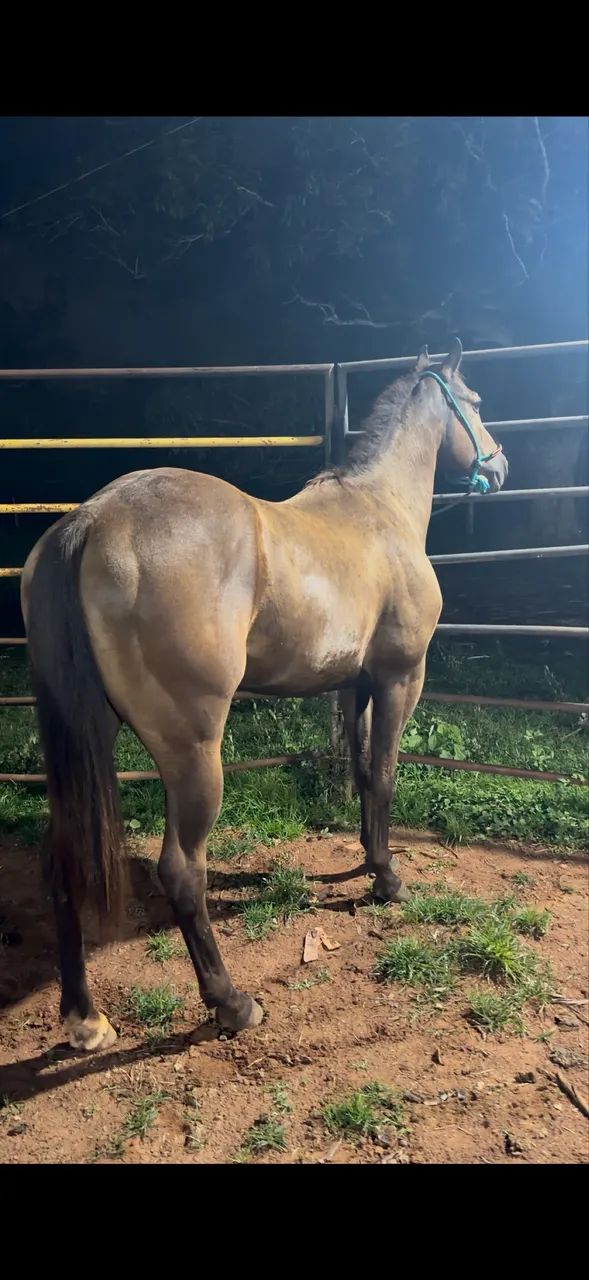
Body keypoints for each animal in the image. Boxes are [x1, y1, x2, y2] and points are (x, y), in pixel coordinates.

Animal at [21, 338, 508, 1051]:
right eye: (474, 402)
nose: (499, 465)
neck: (378, 511)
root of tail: (88, 521)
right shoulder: (400, 679)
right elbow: (387, 774)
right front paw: (389, 880)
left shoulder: (356, 686)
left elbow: (363, 773)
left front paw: (368, 860)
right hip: (194, 752)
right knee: (182, 870)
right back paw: (230, 1002)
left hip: (91, 737)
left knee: (63, 859)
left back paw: (84, 1018)